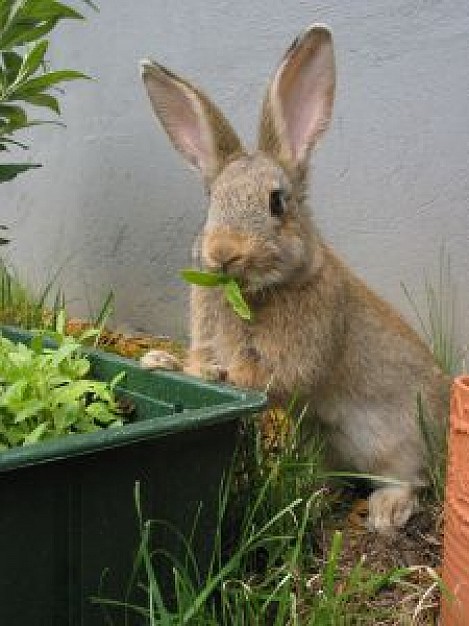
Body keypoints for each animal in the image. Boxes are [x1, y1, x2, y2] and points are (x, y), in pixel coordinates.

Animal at [139, 24, 446, 532]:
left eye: (276, 202)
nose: (223, 253)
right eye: (212, 202)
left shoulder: (305, 345)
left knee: (409, 477)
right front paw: (159, 362)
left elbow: (267, 376)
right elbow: (196, 361)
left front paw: (219, 373)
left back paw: (385, 512)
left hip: (396, 439)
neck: (253, 292)